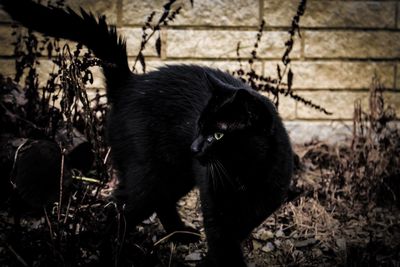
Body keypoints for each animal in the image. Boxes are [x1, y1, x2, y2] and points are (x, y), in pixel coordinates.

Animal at [2, 0, 294, 267]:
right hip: (149, 174)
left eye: (218, 135)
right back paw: (112, 255)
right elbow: (223, 240)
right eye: (200, 126)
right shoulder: (215, 205)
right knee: (120, 210)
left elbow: (234, 234)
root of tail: (130, 84)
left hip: (175, 174)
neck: (245, 174)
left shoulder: (263, 204)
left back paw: (181, 234)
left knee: (161, 202)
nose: (194, 147)